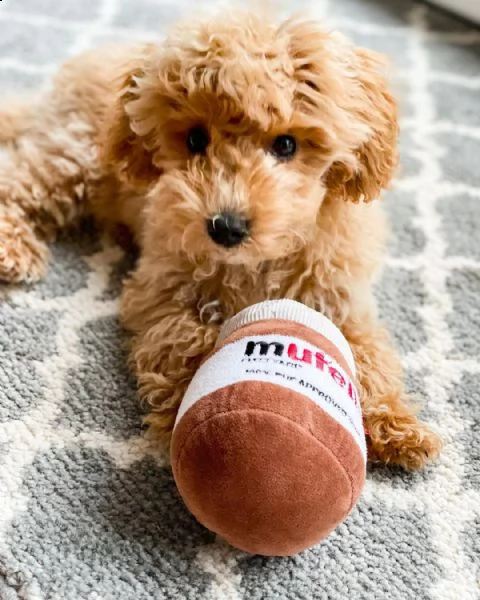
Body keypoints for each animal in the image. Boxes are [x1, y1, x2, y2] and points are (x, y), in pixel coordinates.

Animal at [0, 10, 442, 468]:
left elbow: (368, 354)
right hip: (73, 155)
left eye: (287, 144)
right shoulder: (160, 291)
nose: (225, 227)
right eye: (195, 138)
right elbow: (185, 339)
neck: (258, 262)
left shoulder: (341, 300)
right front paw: (189, 406)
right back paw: (11, 249)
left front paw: (397, 425)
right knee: (15, 182)